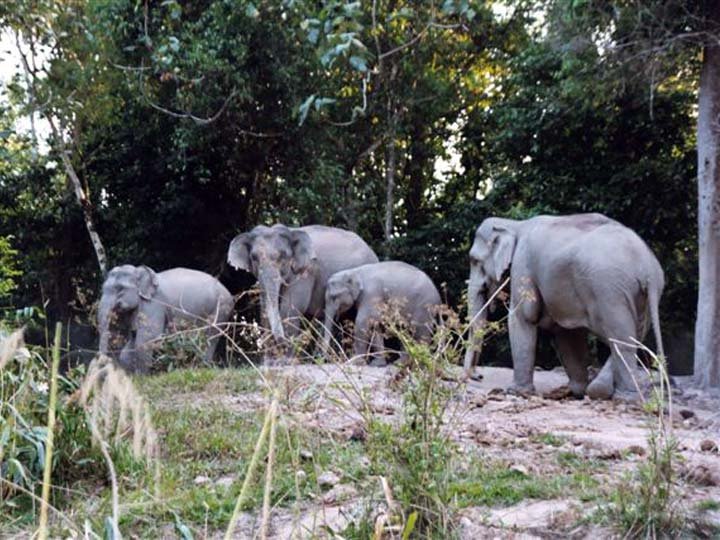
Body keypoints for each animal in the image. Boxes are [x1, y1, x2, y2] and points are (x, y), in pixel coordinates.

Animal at [97, 264, 233, 372]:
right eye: (102, 288)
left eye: (120, 289)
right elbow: (133, 339)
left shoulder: (154, 303)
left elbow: (147, 337)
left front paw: (141, 377)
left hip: (220, 308)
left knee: (209, 337)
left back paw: (202, 367)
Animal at [228, 225, 380, 348]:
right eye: (254, 258)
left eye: (283, 256)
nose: (281, 341)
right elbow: (264, 309)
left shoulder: (306, 273)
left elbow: (290, 309)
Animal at [464, 213, 668, 398]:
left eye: (474, 260)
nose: (478, 376)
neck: (514, 224)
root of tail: (647, 268)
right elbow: (566, 333)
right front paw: (576, 391)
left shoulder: (523, 264)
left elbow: (523, 316)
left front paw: (516, 391)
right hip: (641, 296)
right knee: (634, 334)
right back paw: (600, 390)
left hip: (609, 291)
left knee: (620, 339)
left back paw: (621, 397)